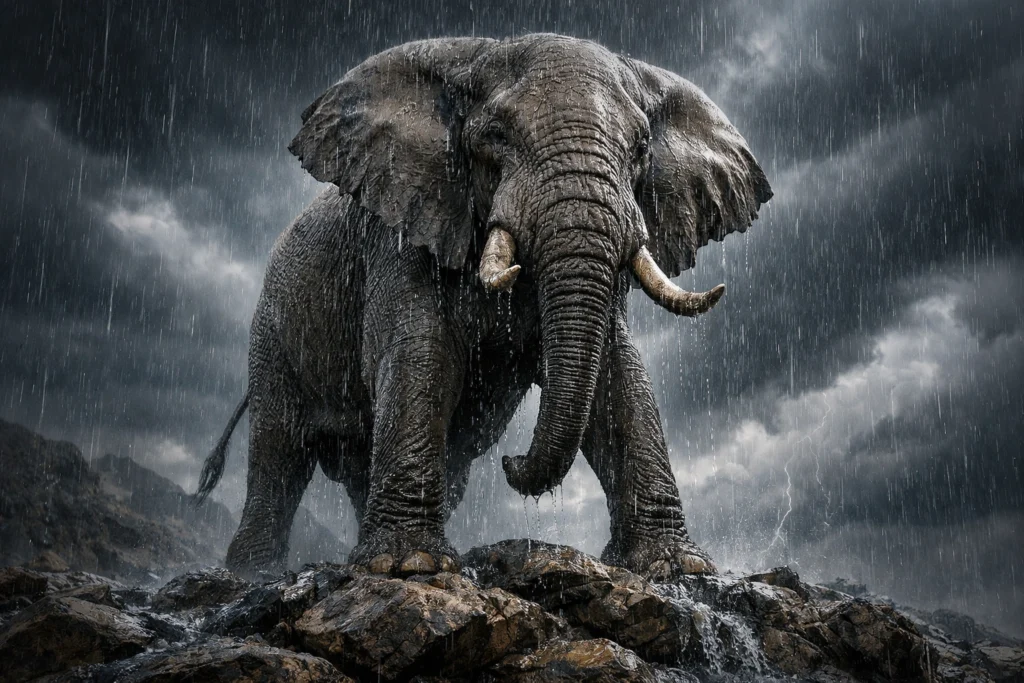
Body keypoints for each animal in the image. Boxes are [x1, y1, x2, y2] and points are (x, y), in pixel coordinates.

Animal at [194, 33, 772, 581]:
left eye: (641, 148)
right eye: (495, 137)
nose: (513, 464)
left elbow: (618, 377)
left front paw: (676, 566)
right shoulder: (400, 225)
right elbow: (420, 354)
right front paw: (408, 565)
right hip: (271, 330)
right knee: (279, 450)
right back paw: (254, 571)